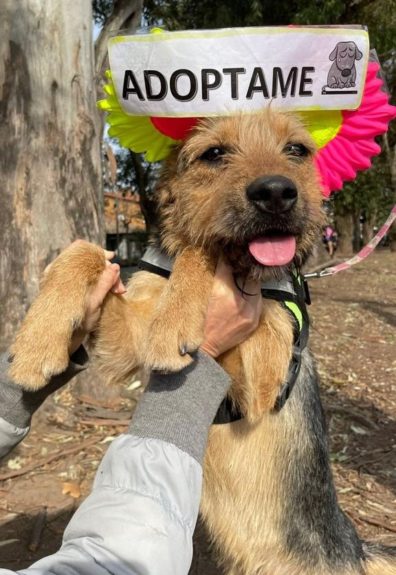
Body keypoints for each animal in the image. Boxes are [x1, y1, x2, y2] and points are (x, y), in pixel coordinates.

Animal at [8, 110, 396, 572]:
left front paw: (176, 319)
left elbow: (202, 250)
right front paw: (35, 344)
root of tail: (355, 551)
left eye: (297, 149)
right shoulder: (124, 342)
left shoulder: (263, 381)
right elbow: (84, 250)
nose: (276, 193)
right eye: (213, 153)